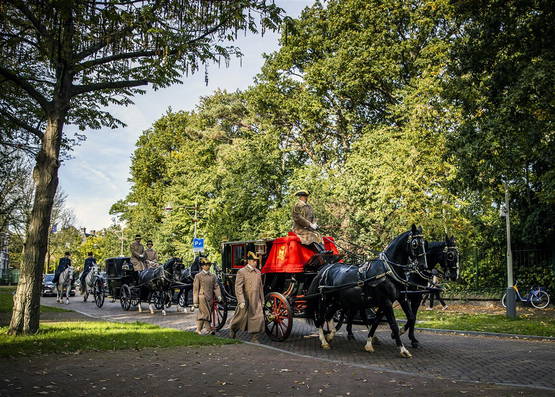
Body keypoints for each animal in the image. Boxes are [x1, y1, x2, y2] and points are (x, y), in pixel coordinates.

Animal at [306, 224, 428, 358]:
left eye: (424, 243)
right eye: (415, 243)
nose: (423, 266)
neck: (388, 270)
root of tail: (325, 269)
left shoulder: (399, 299)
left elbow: (407, 318)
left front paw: (370, 343)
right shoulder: (386, 302)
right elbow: (393, 325)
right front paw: (403, 349)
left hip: (338, 301)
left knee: (328, 315)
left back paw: (330, 335)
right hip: (324, 300)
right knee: (320, 319)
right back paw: (324, 341)